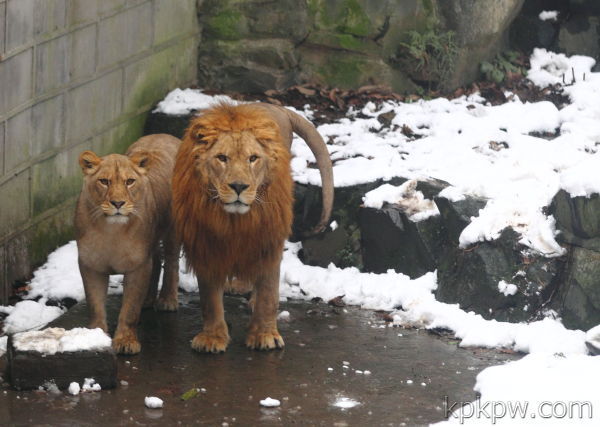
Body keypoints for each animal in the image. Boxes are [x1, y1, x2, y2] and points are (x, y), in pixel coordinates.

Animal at [75, 135, 179, 356]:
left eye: (129, 181)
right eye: (104, 181)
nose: (118, 203)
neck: (111, 231)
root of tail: (167, 135)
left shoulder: (137, 266)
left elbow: (129, 309)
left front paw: (126, 341)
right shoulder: (90, 265)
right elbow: (95, 303)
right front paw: (95, 335)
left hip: (173, 230)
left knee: (171, 261)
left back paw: (167, 300)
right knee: (157, 259)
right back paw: (147, 300)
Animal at [172, 102, 332, 352]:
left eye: (253, 158)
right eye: (222, 158)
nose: (239, 186)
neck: (234, 221)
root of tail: (277, 107)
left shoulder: (267, 237)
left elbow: (268, 294)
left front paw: (264, 336)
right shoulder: (206, 243)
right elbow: (209, 300)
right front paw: (212, 338)